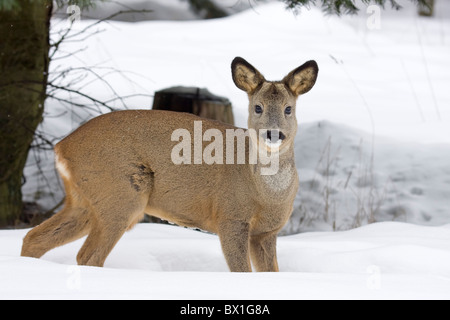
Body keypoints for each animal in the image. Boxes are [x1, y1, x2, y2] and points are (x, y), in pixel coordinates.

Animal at [21, 57, 316, 270]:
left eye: (289, 109)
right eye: (257, 107)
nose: (273, 134)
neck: (266, 194)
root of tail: (61, 147)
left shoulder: (267, 231)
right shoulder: (231, 217)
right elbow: (241, 270)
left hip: (85, 199)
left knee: (33, 238)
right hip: (120, 194)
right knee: (87, 256)